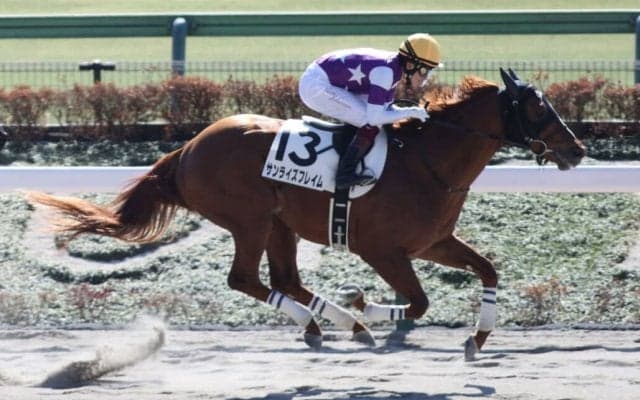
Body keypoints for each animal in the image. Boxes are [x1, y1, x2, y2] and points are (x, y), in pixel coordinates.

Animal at [29, 68, 585, 361]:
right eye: (538, 107)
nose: (576, 150)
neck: (429, 160)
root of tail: (187, 148)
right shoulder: (382, 249)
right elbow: (418, 302)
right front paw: (367, 307)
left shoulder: (432, 242)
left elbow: (488, 270)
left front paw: (479, 335)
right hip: (250, 220)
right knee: (245, 279)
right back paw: (342, 322)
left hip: (280, 223)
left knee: (284, 280)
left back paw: (330, 324)